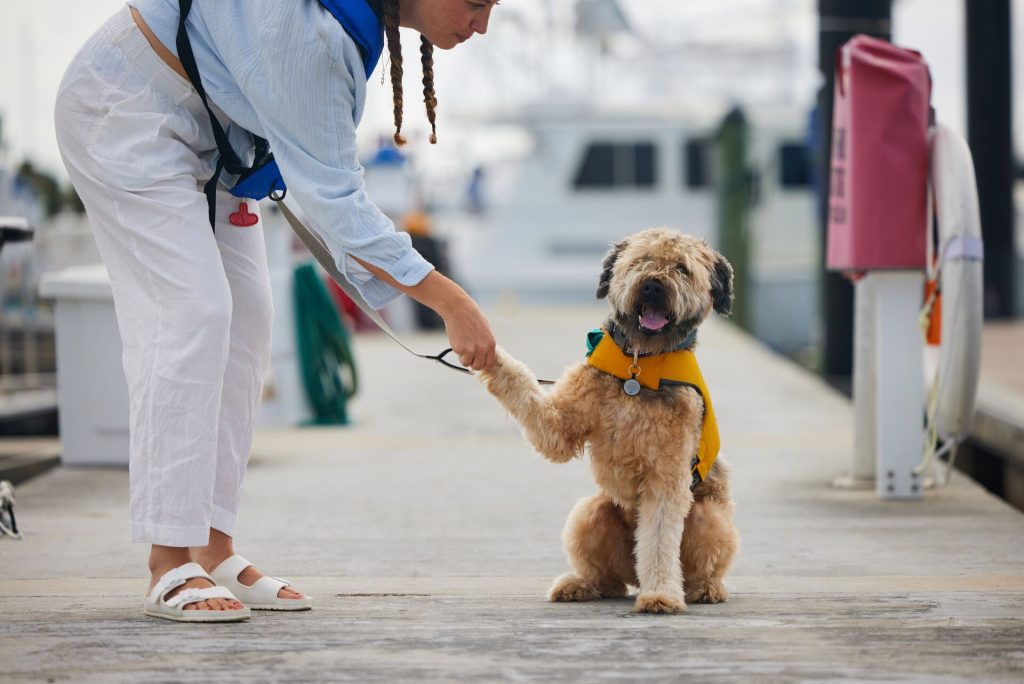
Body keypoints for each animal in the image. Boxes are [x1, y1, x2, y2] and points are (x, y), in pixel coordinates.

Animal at [477, 225, 737, 614]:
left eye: (682, 268)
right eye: (641, 260)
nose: (653, 285)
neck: (640, 365)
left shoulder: (666, 475)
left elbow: (660, 539)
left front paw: (660, 595)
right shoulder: (558, 424)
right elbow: (524, 388)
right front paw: (484, 349)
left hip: (710, 518)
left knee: (693, 562)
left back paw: (704, 588)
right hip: (589, 514)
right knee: (607, 578)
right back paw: (580, 585)